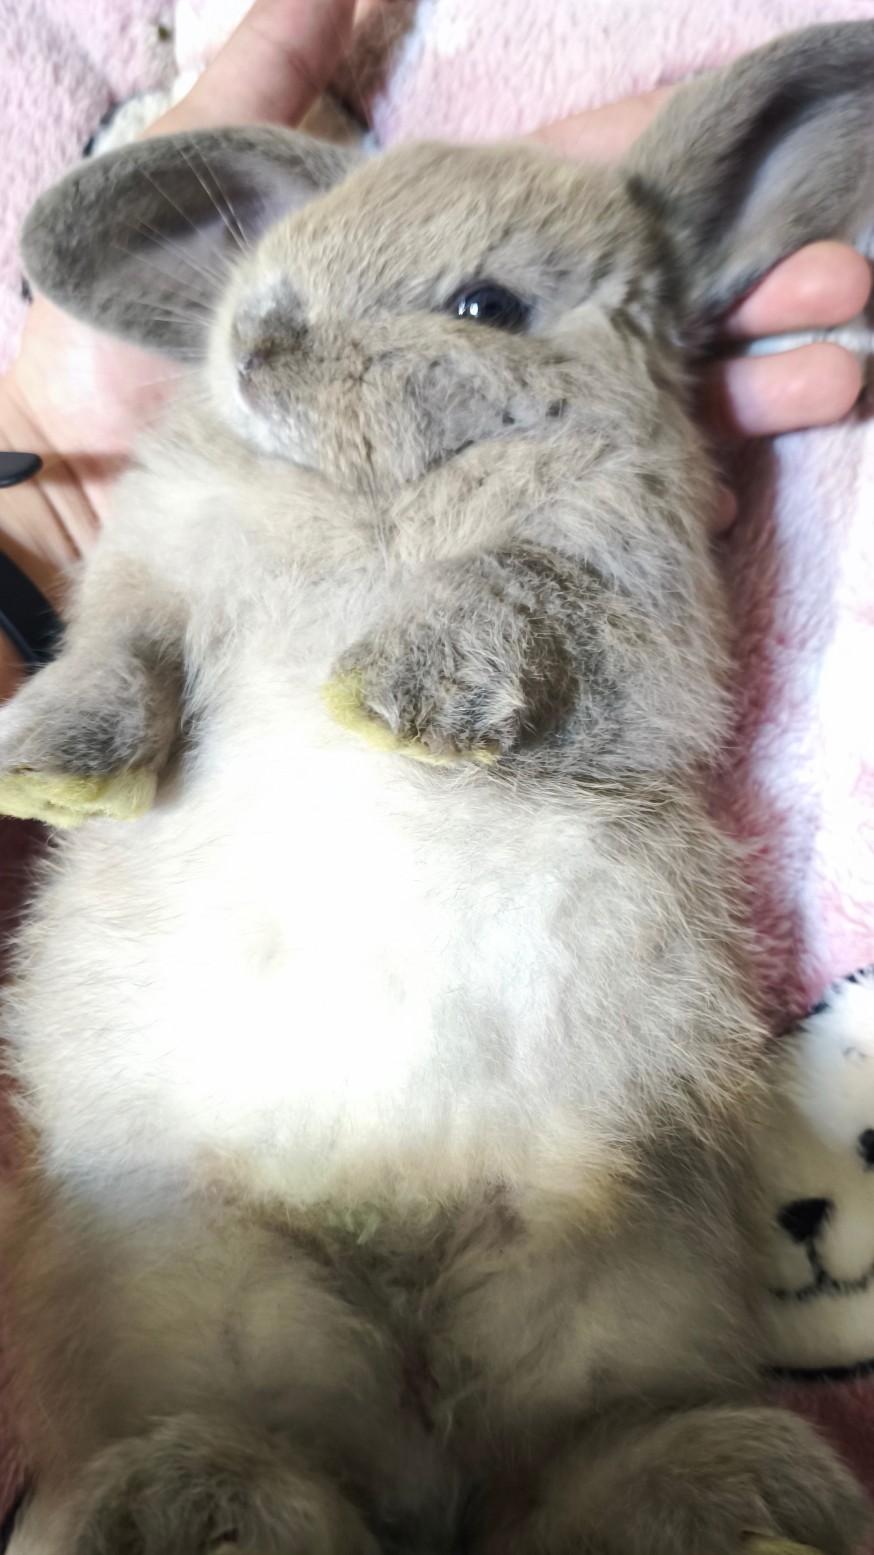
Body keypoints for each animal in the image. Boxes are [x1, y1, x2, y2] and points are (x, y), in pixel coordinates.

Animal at [1, 19, 874, 1555]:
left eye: (486, 302)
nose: (260, 334)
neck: (369, 494)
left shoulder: (623, 611)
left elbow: (507, 593)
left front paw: (385, 697)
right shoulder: (153, 588)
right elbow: (120, 658)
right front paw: (48, 772)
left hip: (600, 1294)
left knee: (557, 1476)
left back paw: (744, 1496)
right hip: (226, 1300)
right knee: (310, 1468)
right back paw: (181, 1504)